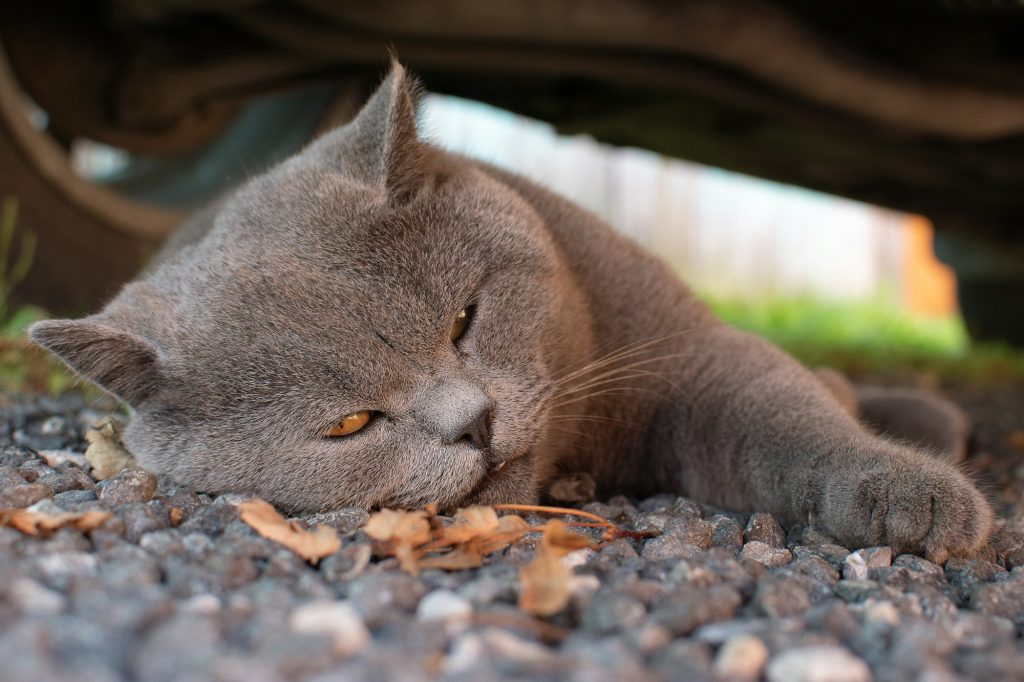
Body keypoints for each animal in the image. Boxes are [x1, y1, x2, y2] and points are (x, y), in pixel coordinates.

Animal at [32, 65, 991, 561]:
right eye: (348, 425)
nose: (474, 422)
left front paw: (908, 494)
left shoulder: (690, 354)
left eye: (464, 319)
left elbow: (789, 417)